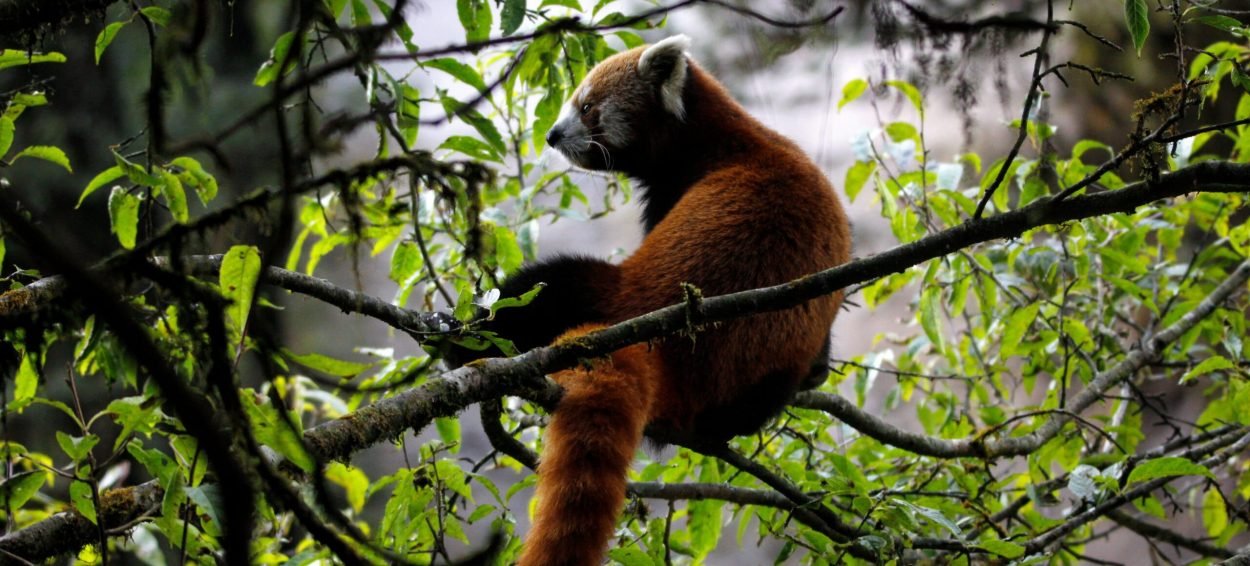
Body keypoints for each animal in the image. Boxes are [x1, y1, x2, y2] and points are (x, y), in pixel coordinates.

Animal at [447, 36, 850, 564]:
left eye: (588, 107)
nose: (553, 135)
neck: (714, 139)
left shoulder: (671, 191)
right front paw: (820, 371)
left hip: (610, 290)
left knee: (550, 283)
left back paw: (462, 341)